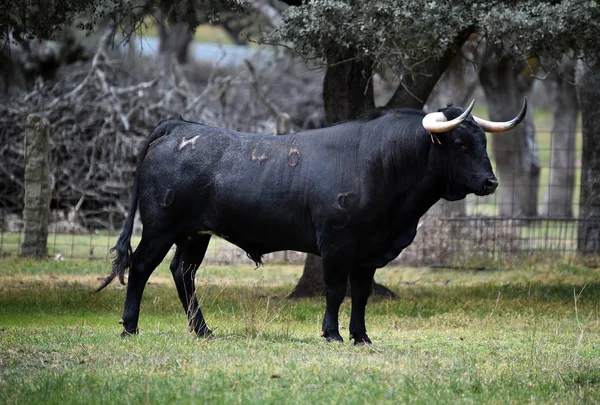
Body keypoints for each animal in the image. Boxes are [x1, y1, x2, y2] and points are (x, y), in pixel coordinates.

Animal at [95, 102, 524, 344]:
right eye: (460, 144)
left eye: (483, 142)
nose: (491, 182)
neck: (380, 163)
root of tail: (181, 127)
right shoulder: (337, 243)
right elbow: (335, 290)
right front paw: (331, 333)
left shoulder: (368, 252)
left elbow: (361, 293)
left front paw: (361, 336)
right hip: (160, 227)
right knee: (141, 267)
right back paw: (130, 327)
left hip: (194, 234)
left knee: (182, 273)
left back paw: (203, 330)